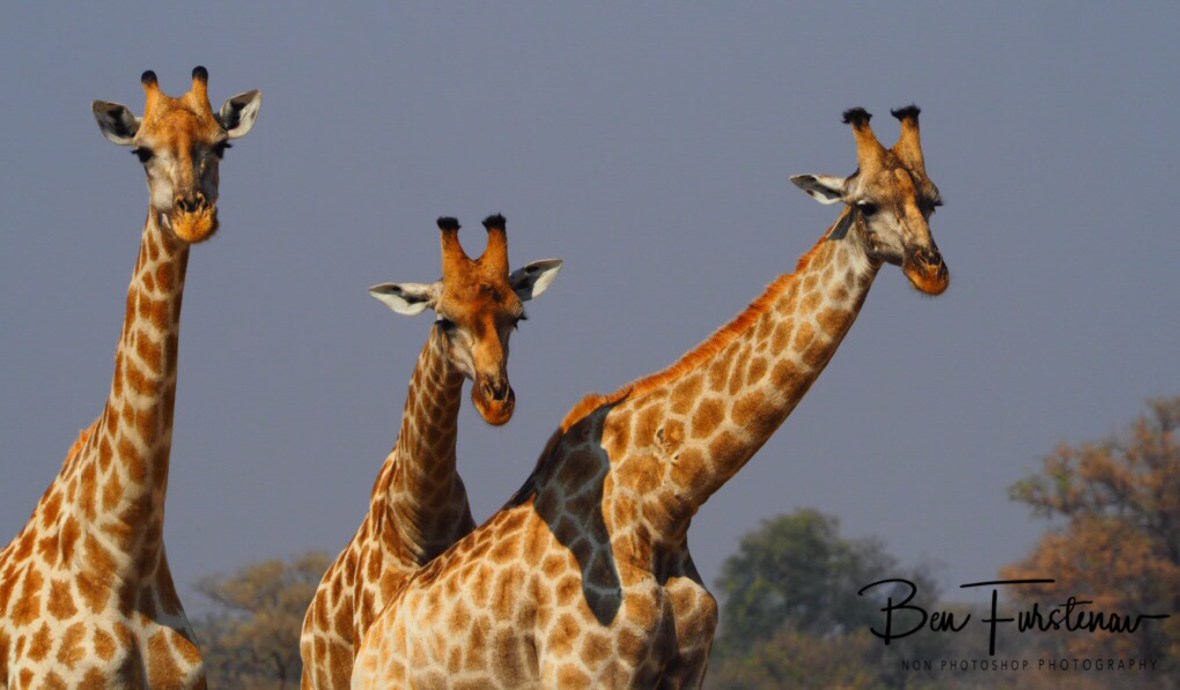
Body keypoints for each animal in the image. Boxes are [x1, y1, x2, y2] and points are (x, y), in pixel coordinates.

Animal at [351, 106, 949, 689]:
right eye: (867, 205)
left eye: (932, 200)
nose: (932, 270)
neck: (664, 505)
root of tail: (369, 646)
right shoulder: (585, 673)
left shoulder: (685, 673)